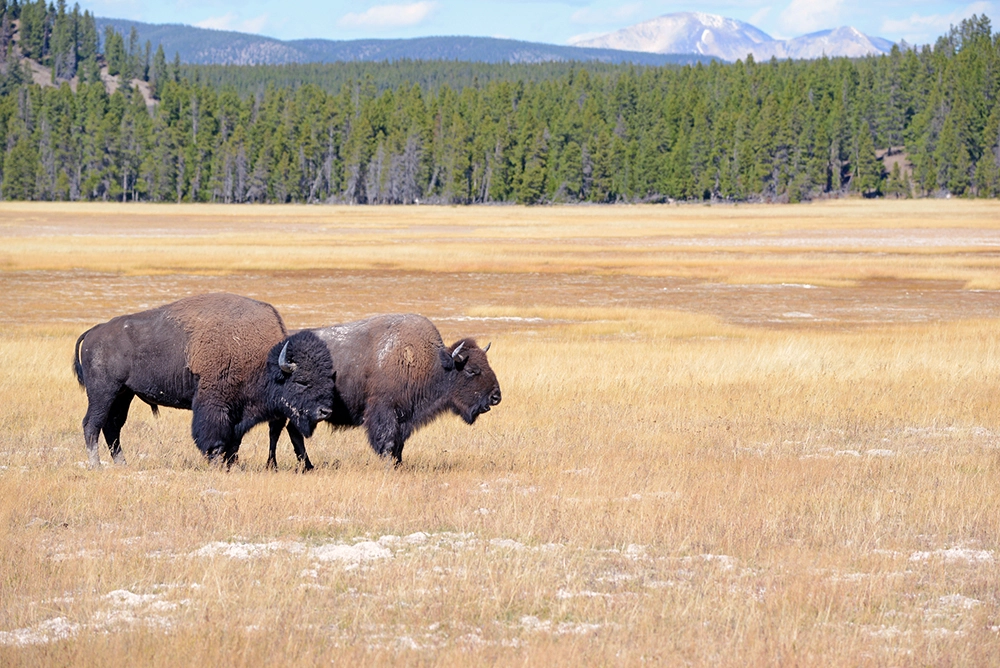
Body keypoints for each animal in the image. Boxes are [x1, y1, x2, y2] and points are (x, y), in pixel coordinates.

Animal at [72, 292, 336, 470]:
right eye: (302, 381)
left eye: (328, 377)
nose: (325, 411)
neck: (263, 358)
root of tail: (94, 331)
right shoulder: (215, 403)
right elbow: (215, 435)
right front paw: (217, 461)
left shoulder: (238, 413)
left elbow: (235, 440)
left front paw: (231, 463)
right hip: (103, 392)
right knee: (92, 424)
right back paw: (96, 465)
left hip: (123, 394)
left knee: (112, 427)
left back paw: (122, 464)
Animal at [268, 314, 500, 468]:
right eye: (471, 370)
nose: (496, 396)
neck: (431, 363)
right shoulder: (384, 411)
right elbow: (387, 440)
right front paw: (389, 465)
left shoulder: (404, 417)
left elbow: (399, 443)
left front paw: (399, 464)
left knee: (292, 431)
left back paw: (308, 466)